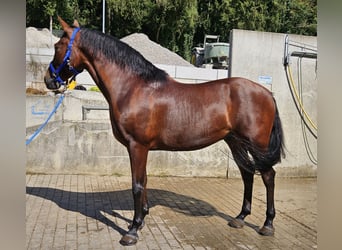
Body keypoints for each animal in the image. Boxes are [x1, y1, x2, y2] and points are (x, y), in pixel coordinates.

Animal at [44, 18, 284, 246]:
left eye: (57, 46)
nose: (48, 79)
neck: (133, 87)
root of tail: (267, 93)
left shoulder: (137, 146)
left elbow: (137, 185)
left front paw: (132, 231)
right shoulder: (140, 148)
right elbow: (144, 181)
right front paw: (141, 220)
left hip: (257, 144)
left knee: (268, 175)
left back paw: (267, 224)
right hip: (236, 142)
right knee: (247, 173)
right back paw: (240, 218)